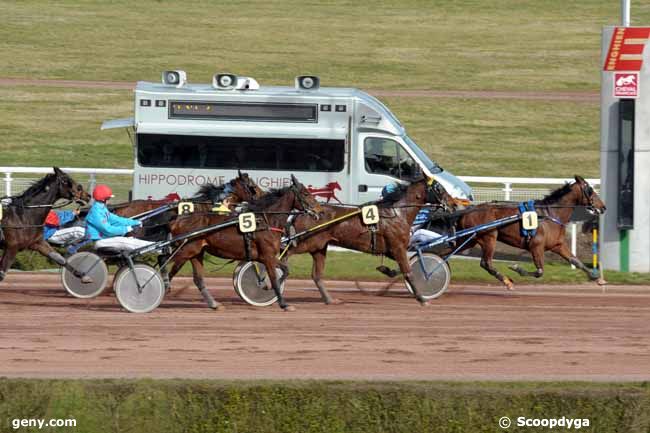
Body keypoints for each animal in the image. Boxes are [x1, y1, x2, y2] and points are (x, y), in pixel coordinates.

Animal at [165, 175, 322, 310]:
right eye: (306, 194)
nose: (319, 211)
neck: (266, 221)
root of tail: (177, 220)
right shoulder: (268, 256)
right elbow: (274, 278)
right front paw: (283, 303)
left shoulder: (265, 257)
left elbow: (285, 270)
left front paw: (267, 285)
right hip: (185, 249)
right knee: (164, 263)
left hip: (196, 252)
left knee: (197, 279)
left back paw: (214, 304)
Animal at [284, 176, 456, 304]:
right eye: (439, 188)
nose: (454, 204)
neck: (397, 213)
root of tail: (303, 212)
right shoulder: (398, 247)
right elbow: (409, 272)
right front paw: (422, 298)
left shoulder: (394, 250)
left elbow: (406, 266)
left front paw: (388, 271)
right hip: (306, 243)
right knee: (285, 253)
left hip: (319, 247)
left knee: (317, 275)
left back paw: (330, 300)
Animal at [456, 174, 604, 288]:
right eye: (590, 190)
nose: (603, 207)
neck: (550, 214)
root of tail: (468, 211)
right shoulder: (536, 246)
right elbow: (540, 271)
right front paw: (516, 268)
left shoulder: (557, 245)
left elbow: (576, 261)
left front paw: (596, 277)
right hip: (489, 237)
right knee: (486, 263)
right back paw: (507, 281)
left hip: (470, 239)